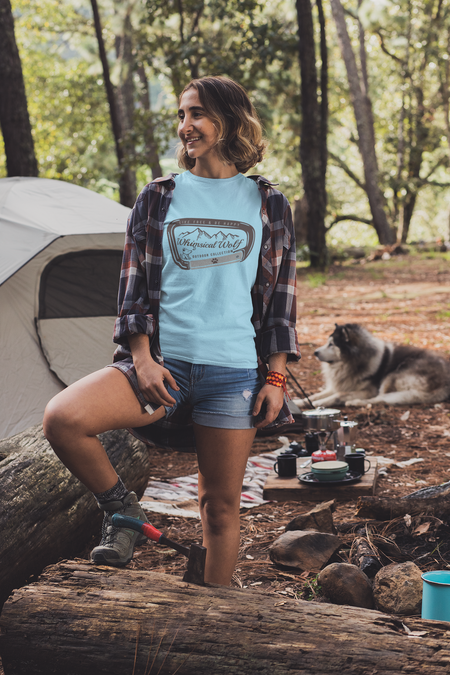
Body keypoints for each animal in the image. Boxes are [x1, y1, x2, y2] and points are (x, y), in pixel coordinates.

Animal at [296, 324, 450, 410]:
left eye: (331, 344)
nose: (315, 352)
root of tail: (445, 384)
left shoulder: (367, 390)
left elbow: (338, 395)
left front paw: (318, 404)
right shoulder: (338, 386)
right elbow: (314, 395)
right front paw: (300, 402)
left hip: (392, 376)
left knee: (380, 399)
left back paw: (355, 402)